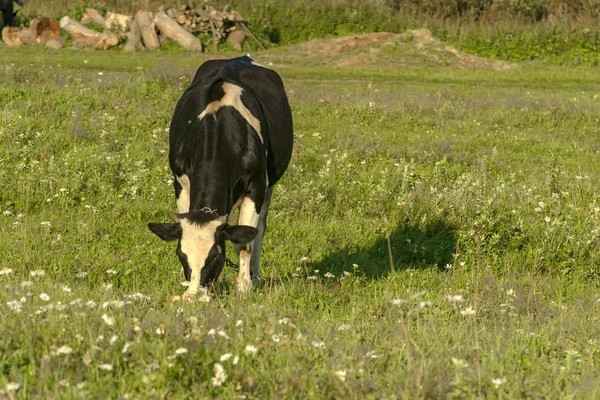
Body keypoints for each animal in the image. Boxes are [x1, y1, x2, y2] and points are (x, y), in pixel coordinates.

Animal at [148, 57, 292, 298]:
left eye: (215, 256)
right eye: (181, 255)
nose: (193, 295)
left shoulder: (256, 187)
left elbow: (245, 243)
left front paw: (244, 287)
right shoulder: (180, 183)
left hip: (268, 185)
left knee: (260, 229)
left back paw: (256, 275)